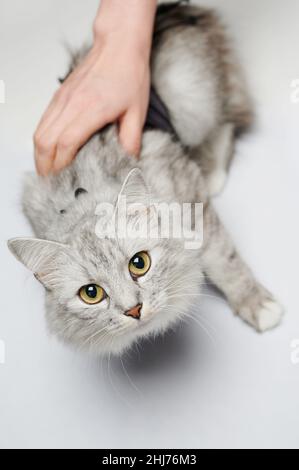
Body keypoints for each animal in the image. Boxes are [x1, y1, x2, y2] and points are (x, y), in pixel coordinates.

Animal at [7, 3, 284, 356]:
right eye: (91, 294)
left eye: (139, 264)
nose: (133, 309)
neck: (81, 193)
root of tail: (174, 8)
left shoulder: (192, 205)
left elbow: (225, 261)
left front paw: (259, 305)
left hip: (191, 99)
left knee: (226, 123)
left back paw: (212, 172)